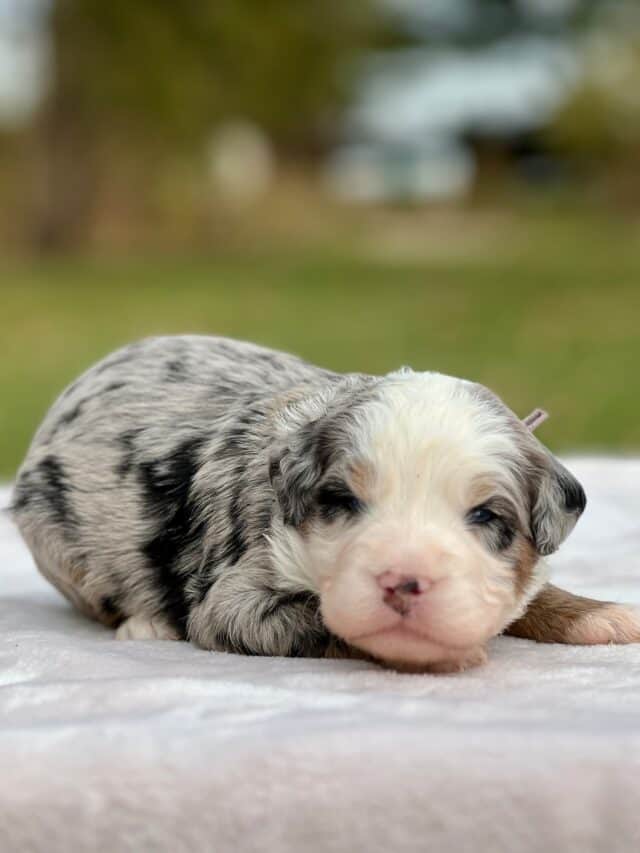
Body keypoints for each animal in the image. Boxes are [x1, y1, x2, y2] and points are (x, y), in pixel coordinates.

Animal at [10, 332, 640, 672]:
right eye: (342, 500)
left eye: (485, 515)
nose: (403, 581)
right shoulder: (236, 597)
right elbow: (322, 619)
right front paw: (435, 653)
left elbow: (532, 592)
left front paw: (601, 615)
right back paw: (146, 625)